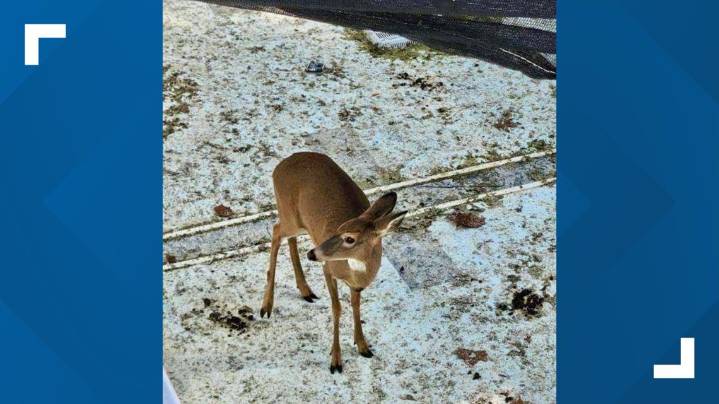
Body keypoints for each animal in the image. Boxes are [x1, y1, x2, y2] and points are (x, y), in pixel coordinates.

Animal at [259, 152, 407, 374]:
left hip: (297, 221)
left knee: (288, 238)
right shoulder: (328, 268)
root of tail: (280, 166)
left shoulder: (357, 285)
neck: (357, 272)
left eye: (349, 238)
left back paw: (305, 290)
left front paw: (363, 345)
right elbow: (337, 308)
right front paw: (336, 360)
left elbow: (356, 305)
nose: (312, 254)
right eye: (338, 228)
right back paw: (266, 306)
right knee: (276, 231)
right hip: (289, 215)